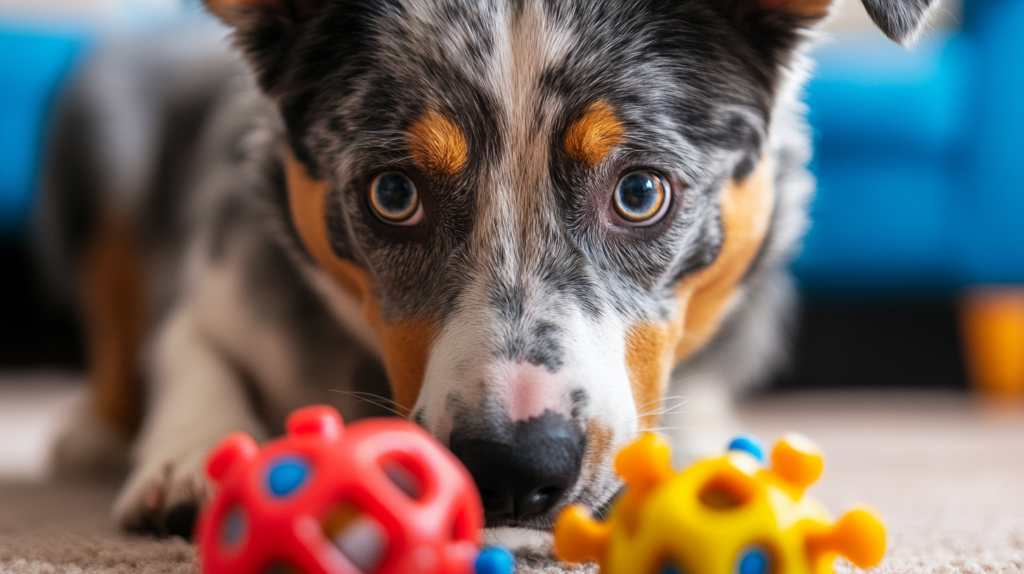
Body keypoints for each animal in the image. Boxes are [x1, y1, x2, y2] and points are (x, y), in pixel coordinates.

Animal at [39, 0, 937, 536]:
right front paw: (189, 463)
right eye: (393, 193)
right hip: (93, 139)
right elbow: (190, 355)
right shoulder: (220, 279)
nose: (514, 469)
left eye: (641, 192)